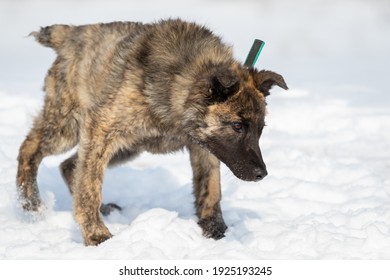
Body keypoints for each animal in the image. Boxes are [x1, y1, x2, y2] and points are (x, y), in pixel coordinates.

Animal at [16, 18, 288, 245]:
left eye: (261, 129)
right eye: (237, 126)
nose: (261, 174)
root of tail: (73, 33)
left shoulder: (206, 146)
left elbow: (210, 190)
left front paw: (215, 232)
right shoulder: (100, 128)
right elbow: (90, 189)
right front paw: (96, 235)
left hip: (126, 147)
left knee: (70, 166)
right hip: (68, 127)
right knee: (31, 149)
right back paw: (30, 202)